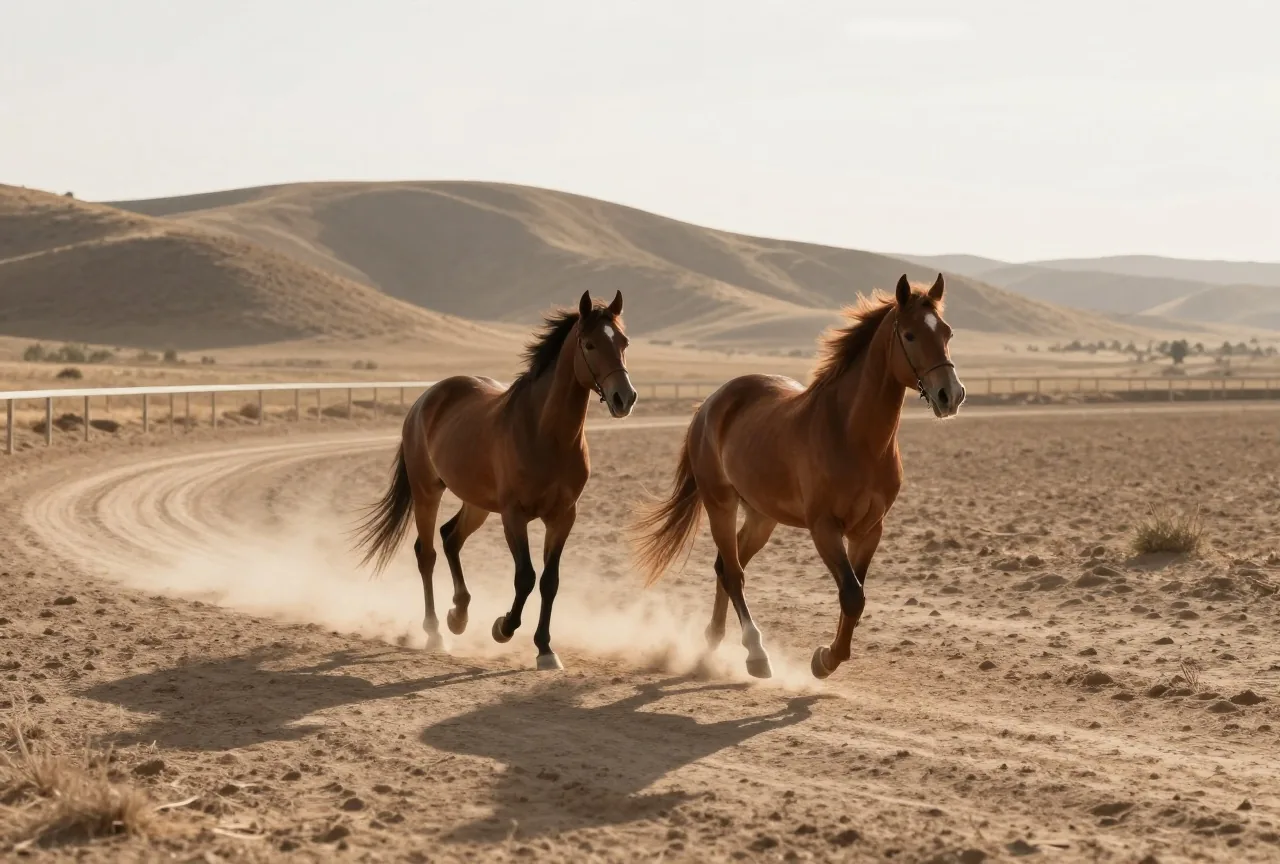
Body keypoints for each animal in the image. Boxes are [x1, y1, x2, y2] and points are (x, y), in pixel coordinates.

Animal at [351, 290, 638, 671]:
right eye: (590, 344)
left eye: (623, 342)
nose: (625, 398)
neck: (546, 433)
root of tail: (425, 399)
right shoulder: (514, 515)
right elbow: (526, 576)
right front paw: (504, 627)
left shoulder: (563, 516)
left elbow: (549, 581)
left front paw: (545, 649)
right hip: (428, 492)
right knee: (427, 553)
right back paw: (435, 632)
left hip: (477, 503)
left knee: (450, 538)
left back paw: (458, 616)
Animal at [629, 274, 964, 680]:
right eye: (911, 335)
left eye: (947, 332)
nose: (951, 395)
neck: (853, 434)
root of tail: (709, 404)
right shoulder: (824, 527)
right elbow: (852, 594)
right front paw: (824, 661)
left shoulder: (869, 529)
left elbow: (856, 596)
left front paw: (828, 656)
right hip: (720, 504)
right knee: (734, 573)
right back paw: (755, 654)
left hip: (762, 516)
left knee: (726, 566)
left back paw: (713, 640)